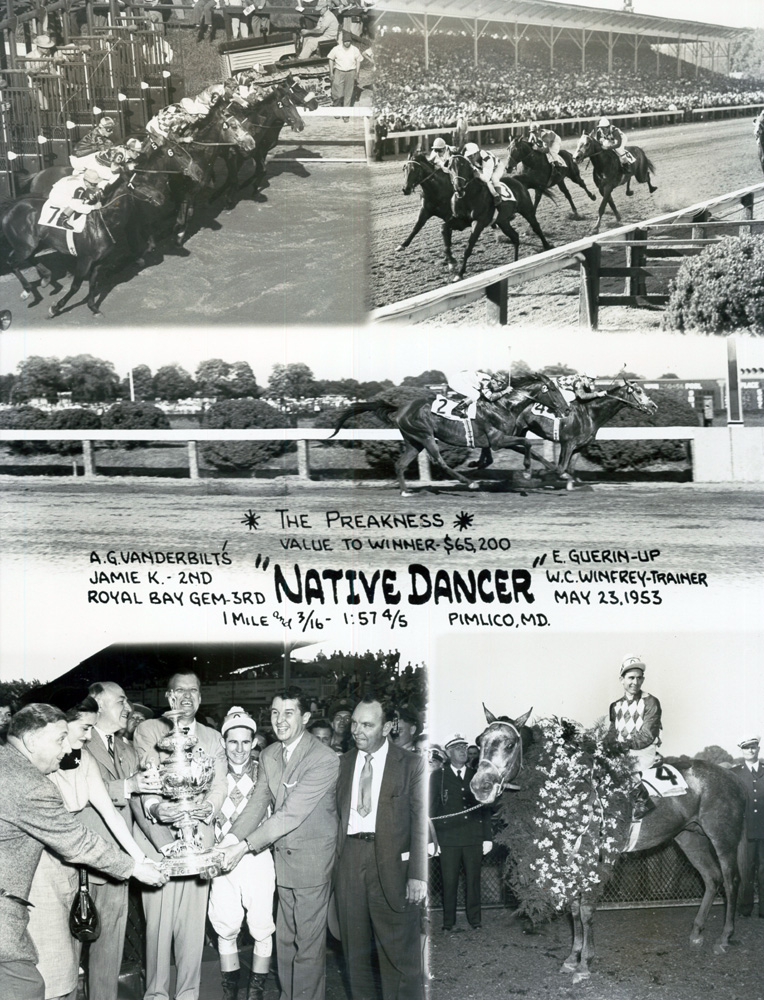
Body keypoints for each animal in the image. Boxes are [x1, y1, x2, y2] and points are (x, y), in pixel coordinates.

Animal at [0, 172, 167, 318]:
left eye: (148, 180)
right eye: (138, 184)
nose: (161, 197)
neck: (103, 222)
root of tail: (12, 206)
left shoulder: (99, 261)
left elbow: (93, 284)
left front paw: (93, 308)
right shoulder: (84, 259)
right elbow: (75, 286)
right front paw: (55, 308)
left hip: (35, 244)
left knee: (28, 258)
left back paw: (46, 278)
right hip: (25, 246)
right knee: (12, 262)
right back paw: (27, 291)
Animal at [332, 372, 572, 496]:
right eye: (553, 390)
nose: (568, 409)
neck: (503, 405)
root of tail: (401, 408)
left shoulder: (499, 440)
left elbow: (527, 449)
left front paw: (559, 473)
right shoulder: (498, 440)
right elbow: (528, 444)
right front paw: (528, 473)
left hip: (413, 441)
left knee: (400, 464)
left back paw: (406, 491)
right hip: (425, 436)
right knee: (439, 461)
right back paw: (469, 483)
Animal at [472, 708, 748, 980]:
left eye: (509, 744)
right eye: (479, 740)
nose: (479, 786)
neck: (569, 786)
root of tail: (731, 774)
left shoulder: (595, 858)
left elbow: (585, 910)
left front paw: (585, 964)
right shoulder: (571, 858)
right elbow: (574, 909)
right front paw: (572, 958)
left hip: (723, 837)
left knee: (731, 880)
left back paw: (724, 938)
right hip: (690, 838)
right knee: (711, 878)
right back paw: (696, 933)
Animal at [504, 378, 660, 480]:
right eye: (638, 391)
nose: (654, 406)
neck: (589, 414)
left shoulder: (579, 446)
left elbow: (570, 469)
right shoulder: (567, 443)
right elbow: (561, 468)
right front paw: (542, 473)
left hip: (521, 430)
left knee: (516, 445)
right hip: (515, 430)